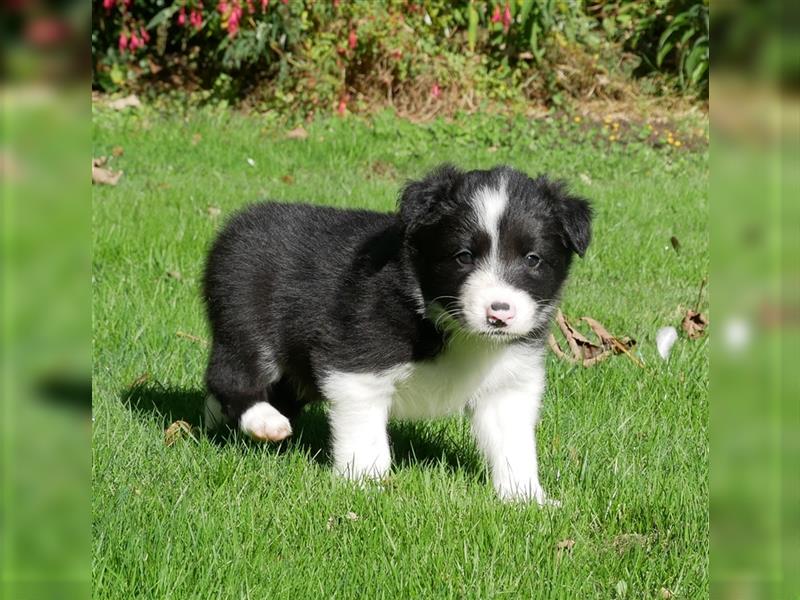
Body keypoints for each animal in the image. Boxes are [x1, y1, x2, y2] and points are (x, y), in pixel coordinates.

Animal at [203, 163, 592, 502]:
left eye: (533, 259)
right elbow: (367, 437)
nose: (499, 314)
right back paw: (264, 420)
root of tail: (233, 227)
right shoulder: (357, 360)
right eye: (463, 256)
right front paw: (368, 485)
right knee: (229, 373)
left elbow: (513, 443)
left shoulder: (508, 384)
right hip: (246, 320)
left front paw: (526, 498)